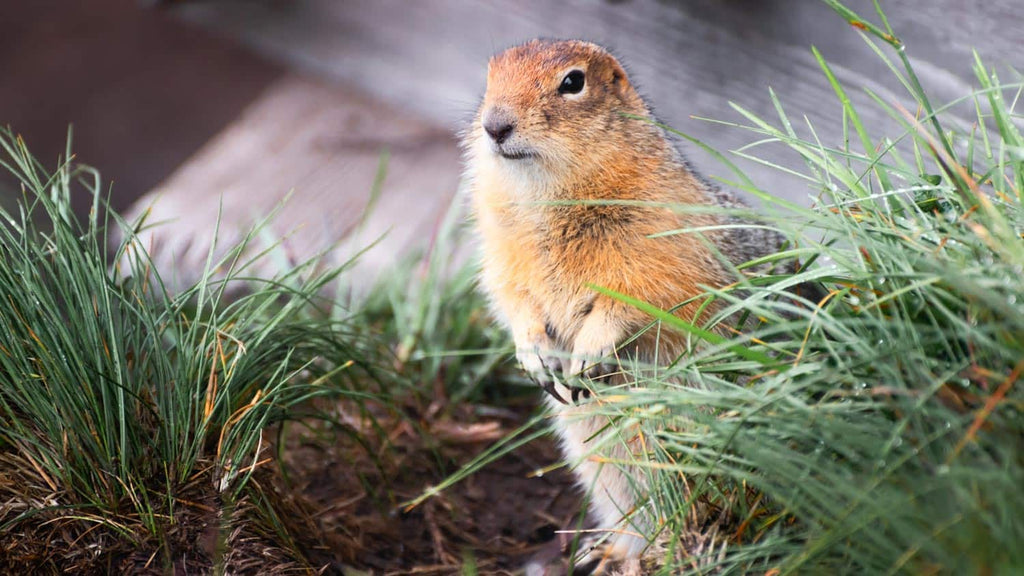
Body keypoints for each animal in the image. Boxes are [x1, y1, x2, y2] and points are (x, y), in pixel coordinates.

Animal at [464, 40, 782, 569]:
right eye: (489, 76)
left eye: (573, 82)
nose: (494, 126)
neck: (547, 194)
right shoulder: (504, 253)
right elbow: (513, 298)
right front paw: (535, 355)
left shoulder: (658, 250)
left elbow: (637, 301)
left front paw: (589, 354)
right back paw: (607, 550)